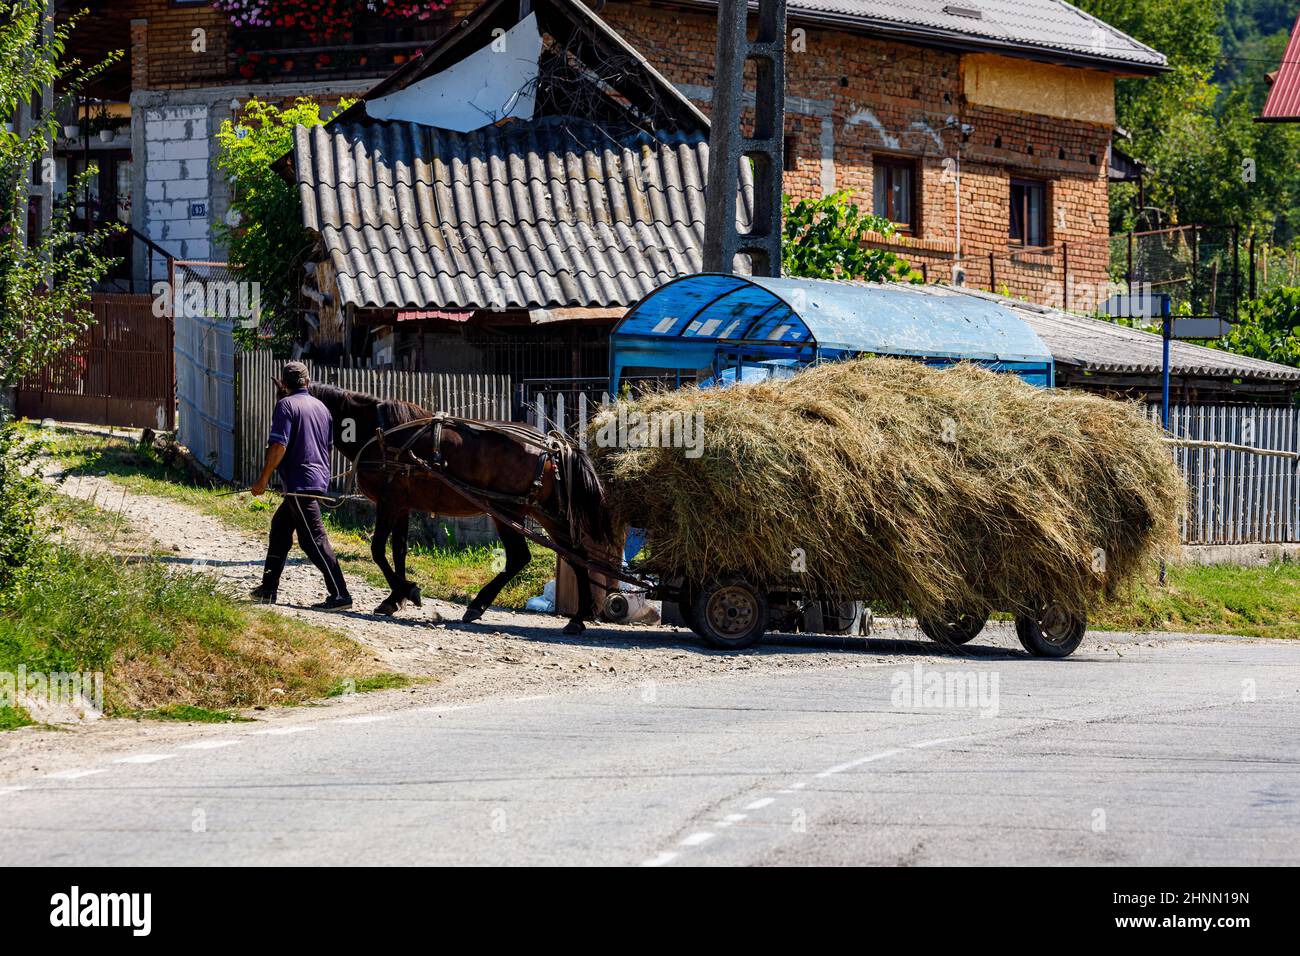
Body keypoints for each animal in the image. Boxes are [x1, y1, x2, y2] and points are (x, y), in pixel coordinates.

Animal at [301, 382, 616, 634]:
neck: (381, 435)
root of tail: (551, 445)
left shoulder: (388, 503)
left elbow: (378, 549)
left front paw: (408, 591)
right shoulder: (401, 505)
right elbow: (399, 550)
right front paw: (395, 598)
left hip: (507, 511)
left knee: (521, 557)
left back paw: (480, 605)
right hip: (542, 512)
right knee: (575, 556)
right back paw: (578, 617)